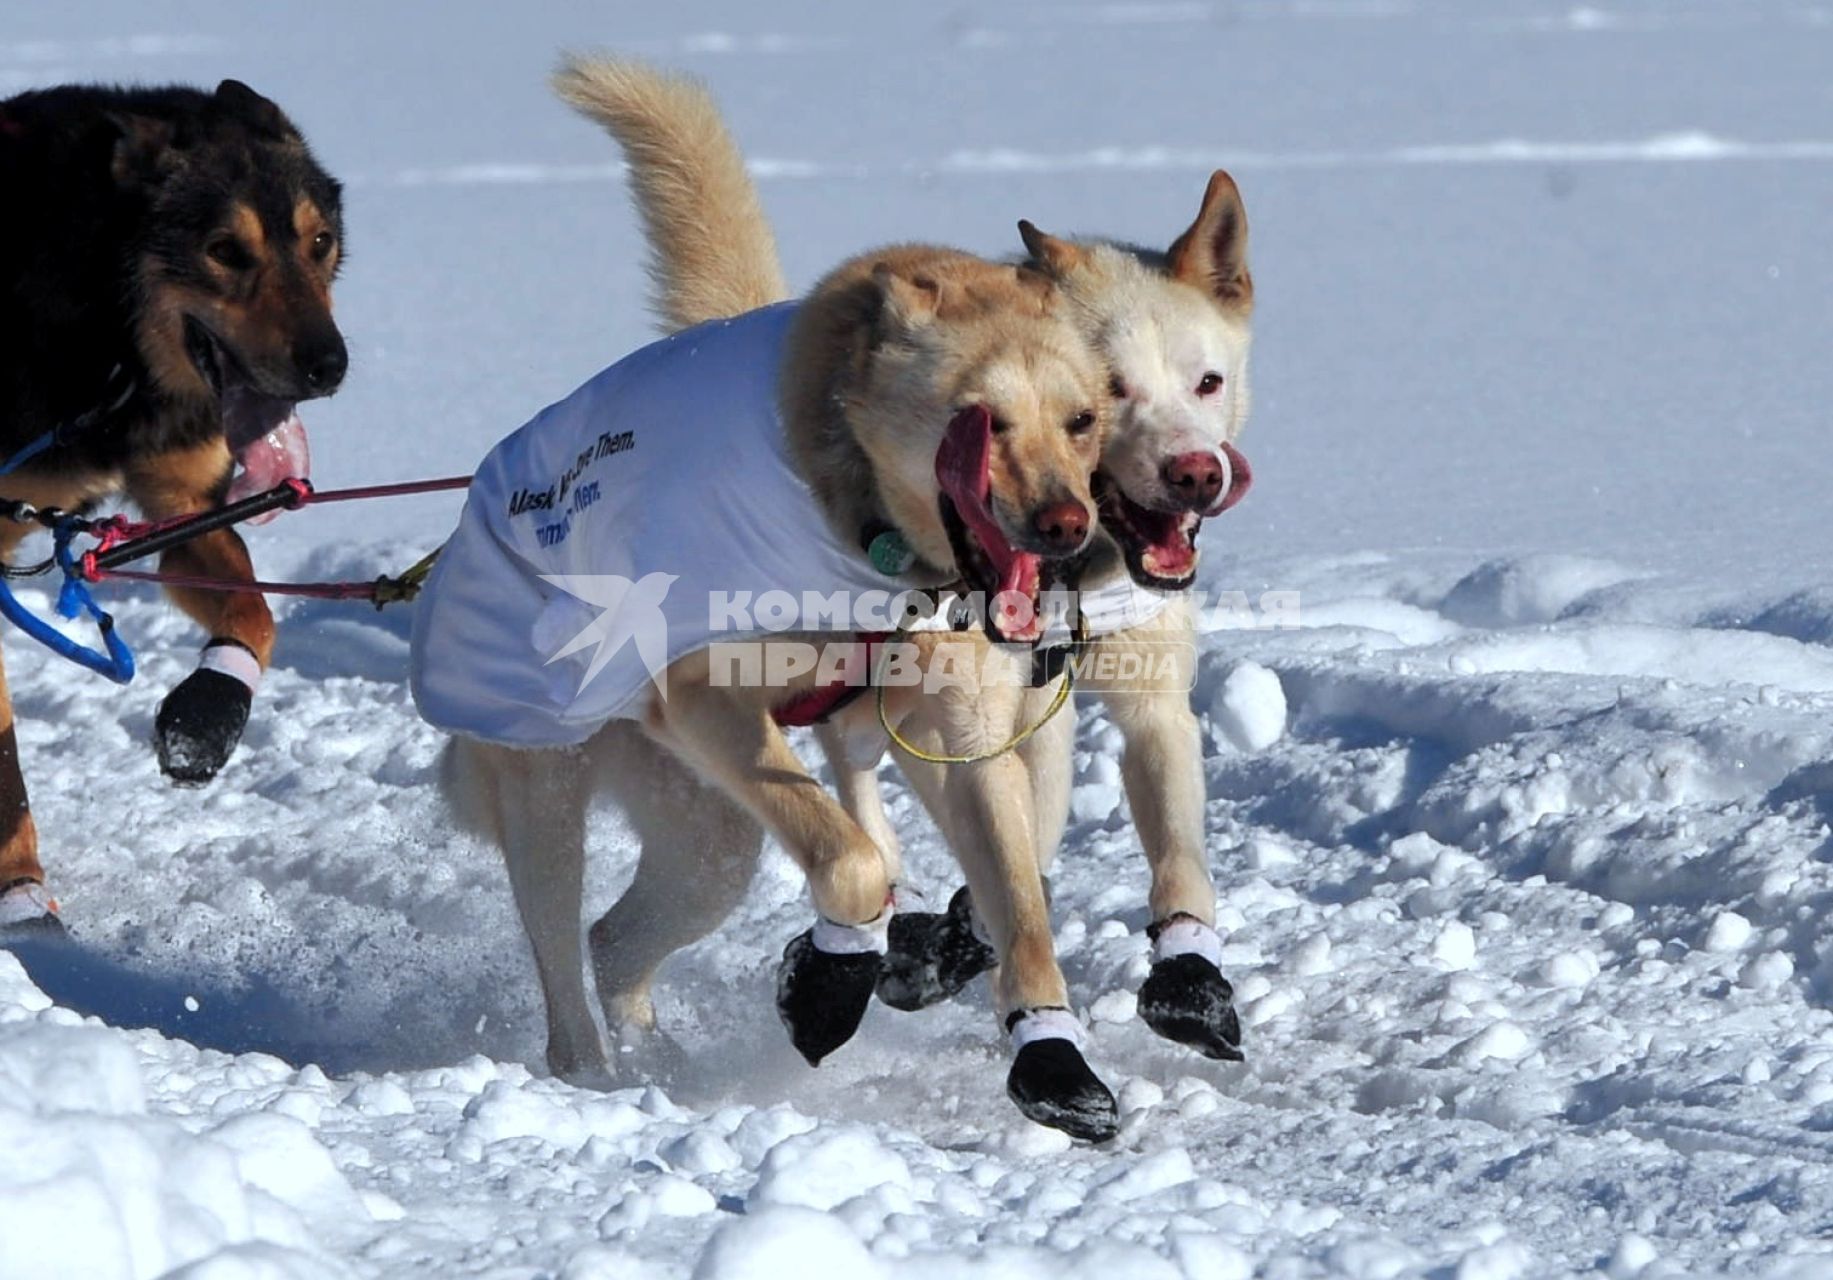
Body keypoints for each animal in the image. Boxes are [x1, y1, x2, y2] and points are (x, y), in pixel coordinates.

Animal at [0, 79, 346, 931]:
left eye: (319, 241)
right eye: (225, 250)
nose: (328, 365)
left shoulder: (186, 507)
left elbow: (255, 611)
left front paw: (207, 714)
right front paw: (20, 893)